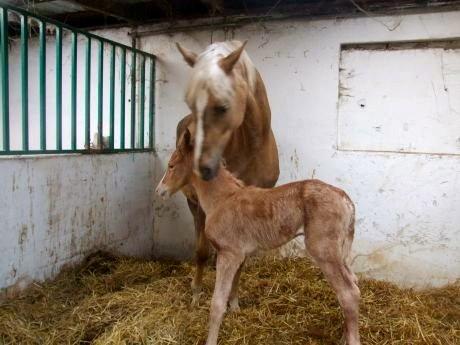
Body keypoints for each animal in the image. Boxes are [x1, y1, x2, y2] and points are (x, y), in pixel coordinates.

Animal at [156, 129, 362, 344]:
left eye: (171, 166)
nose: (159, 190)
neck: (222, 199)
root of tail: (346, 201)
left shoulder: (228, 254)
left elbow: (217, 303)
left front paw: (211, 339)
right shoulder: (239, 254)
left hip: (323, 250)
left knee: (348, 292)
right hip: (341, 251)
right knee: (353, 283)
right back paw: (343, 336)